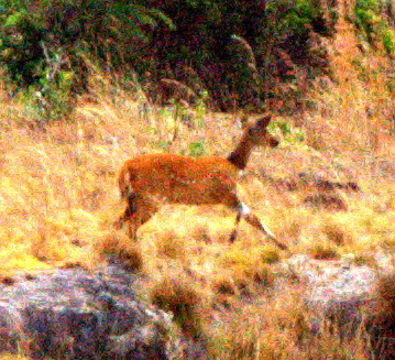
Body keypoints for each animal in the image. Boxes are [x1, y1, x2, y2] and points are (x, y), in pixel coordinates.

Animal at [114, 115, 288, 250]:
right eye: (264, 130)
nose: (276, 141)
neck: (234, 165)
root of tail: (126, 167)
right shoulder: (226, 194)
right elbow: (251, 216)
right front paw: (281, 245)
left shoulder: (227, 196)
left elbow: (248, 216)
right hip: (151, 197)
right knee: (132, 224)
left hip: (134, 198)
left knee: (120, 221)